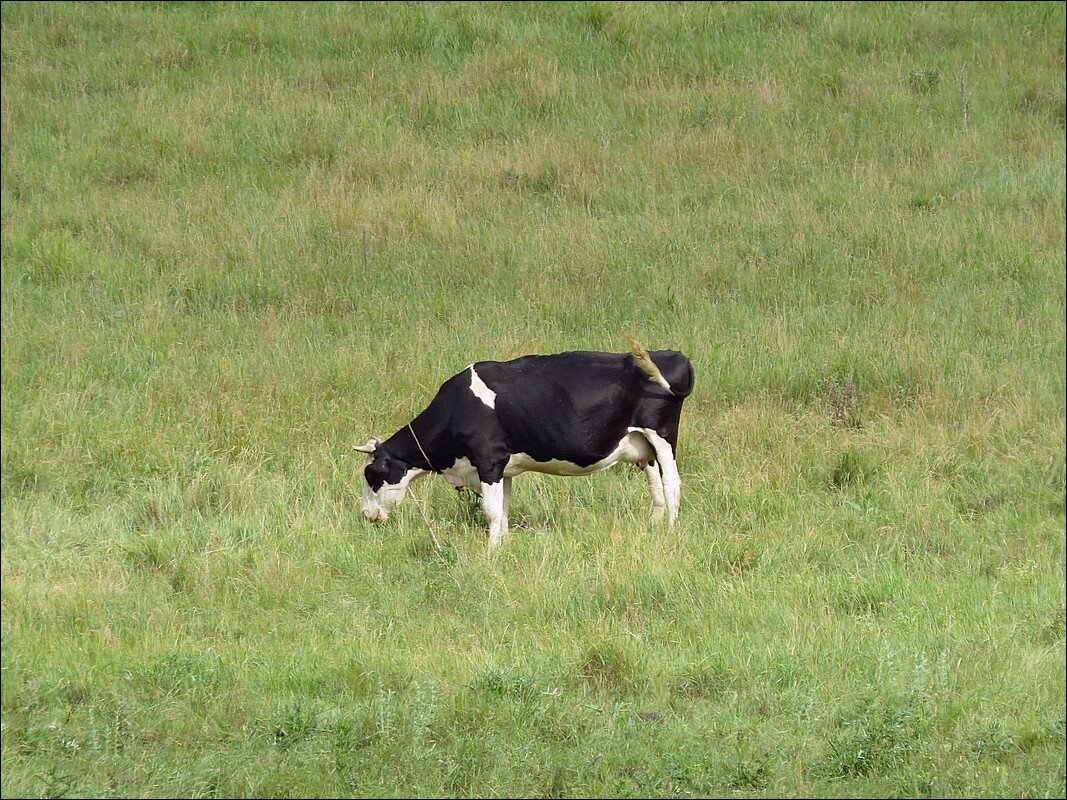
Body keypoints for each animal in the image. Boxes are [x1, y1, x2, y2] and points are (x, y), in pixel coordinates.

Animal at [354, 334, 695, 550]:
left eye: (372, 474)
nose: (367, 516)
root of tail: (672, 354)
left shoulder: (488, 459)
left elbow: (491, 511)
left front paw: (491, 552)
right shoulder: (503, 467)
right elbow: (503, 509)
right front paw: (503, 544)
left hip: (663, 437)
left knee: (672, 485)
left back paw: (670, 529)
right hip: (643, 446)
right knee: (656, 487)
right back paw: (654, 526)